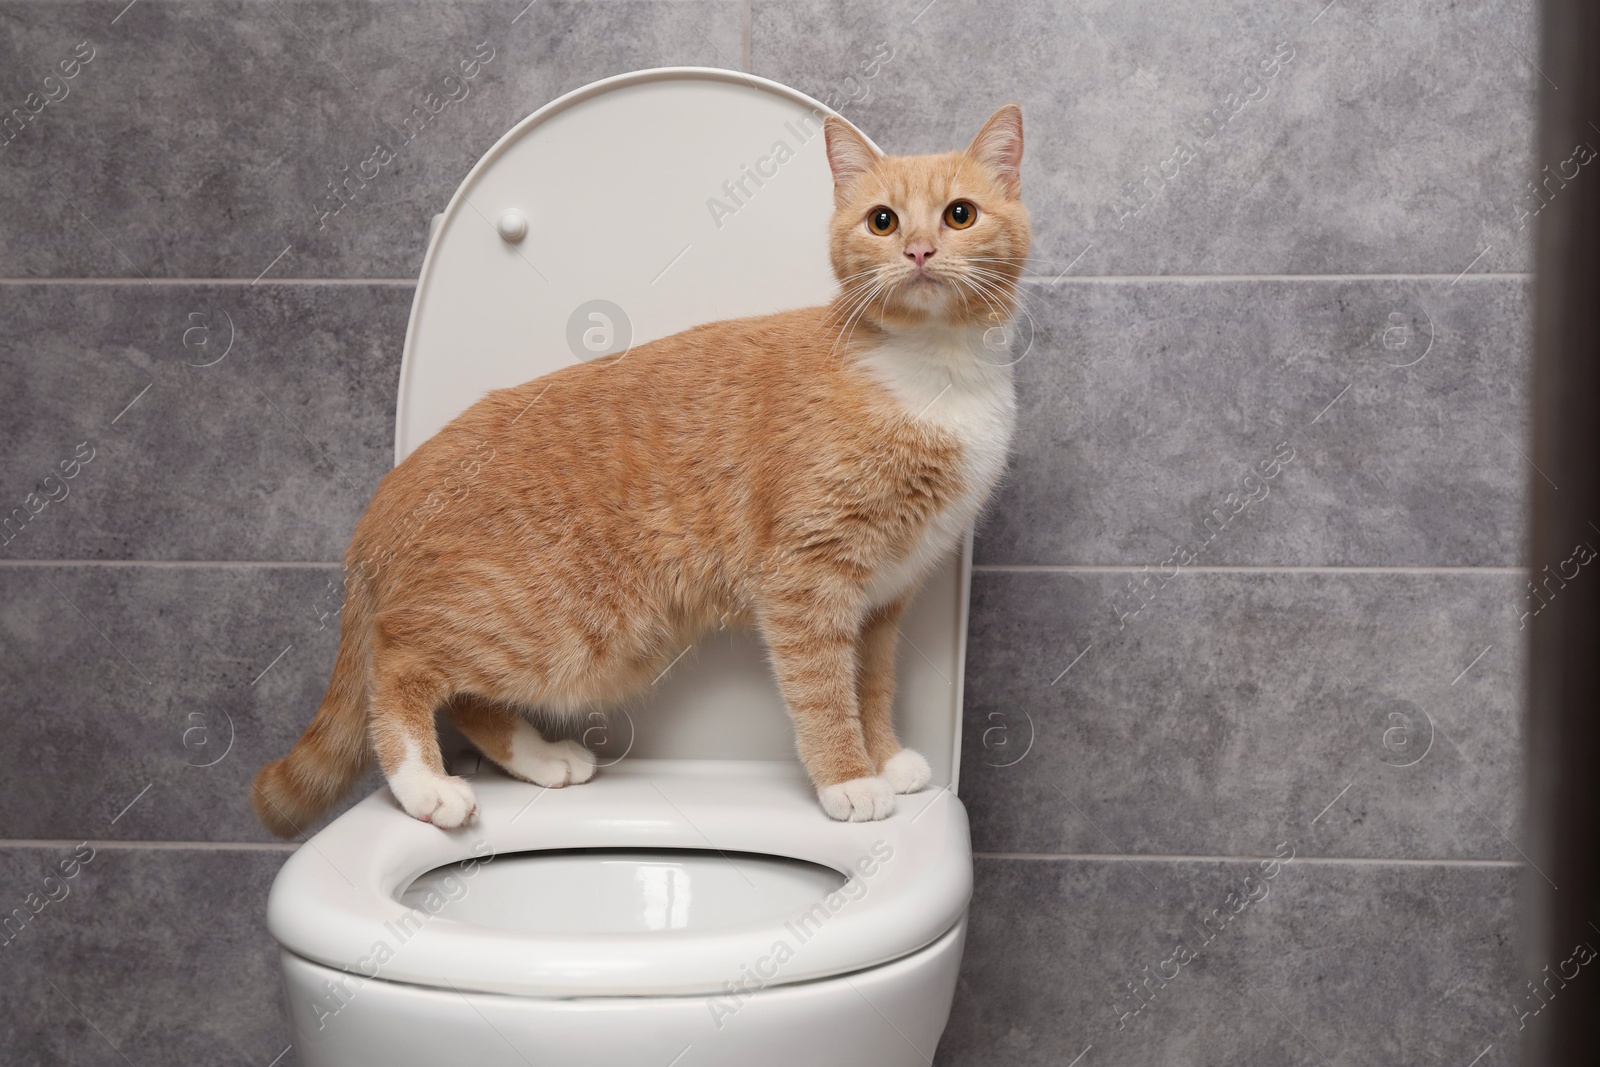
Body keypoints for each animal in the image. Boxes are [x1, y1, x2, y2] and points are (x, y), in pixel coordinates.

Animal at [248, 102, 1024, 831]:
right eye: (882, 221)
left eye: (959, 214)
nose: (919, 250)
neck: (931, 373)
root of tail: (390, 492)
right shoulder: (807, 578)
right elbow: (823, 690)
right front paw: (849, 779)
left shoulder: (884, 600)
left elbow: (872, 685)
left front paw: (884, 757)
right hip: (557, 626)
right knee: (398, 657)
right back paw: (425, 784)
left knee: (466, 695)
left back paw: (539, 758)